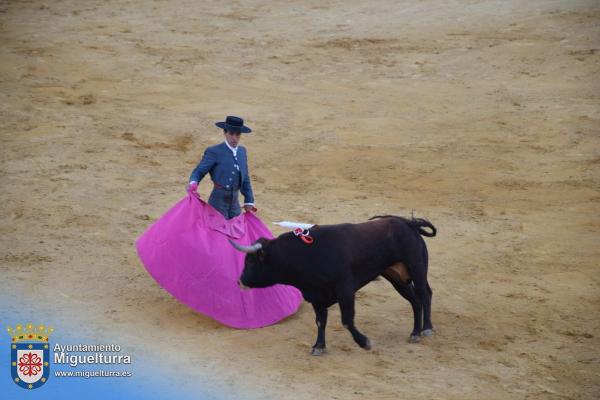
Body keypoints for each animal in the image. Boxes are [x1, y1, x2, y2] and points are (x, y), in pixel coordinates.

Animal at [230, 216, 436, 356]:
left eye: (250, 262)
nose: (240, 281)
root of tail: (408, 223)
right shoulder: (317, 296)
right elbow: (321, 321)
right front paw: (318, 347)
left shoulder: (345, 290)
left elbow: (346, 320)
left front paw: (364, 342)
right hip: (397, 277)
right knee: (415, 300)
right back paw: (415, 332)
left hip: (417, 267)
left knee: (424, 294)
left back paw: (426, 328)